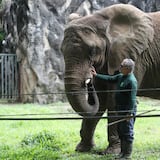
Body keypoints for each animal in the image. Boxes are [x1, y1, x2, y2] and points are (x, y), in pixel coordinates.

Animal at [60, 4, 160, 154]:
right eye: (61, 50)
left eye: (92, 51)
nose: (89, 78)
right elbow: (100, 100)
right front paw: (82, 149)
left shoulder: (135, 56)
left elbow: (114, 98)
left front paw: (112, 151)